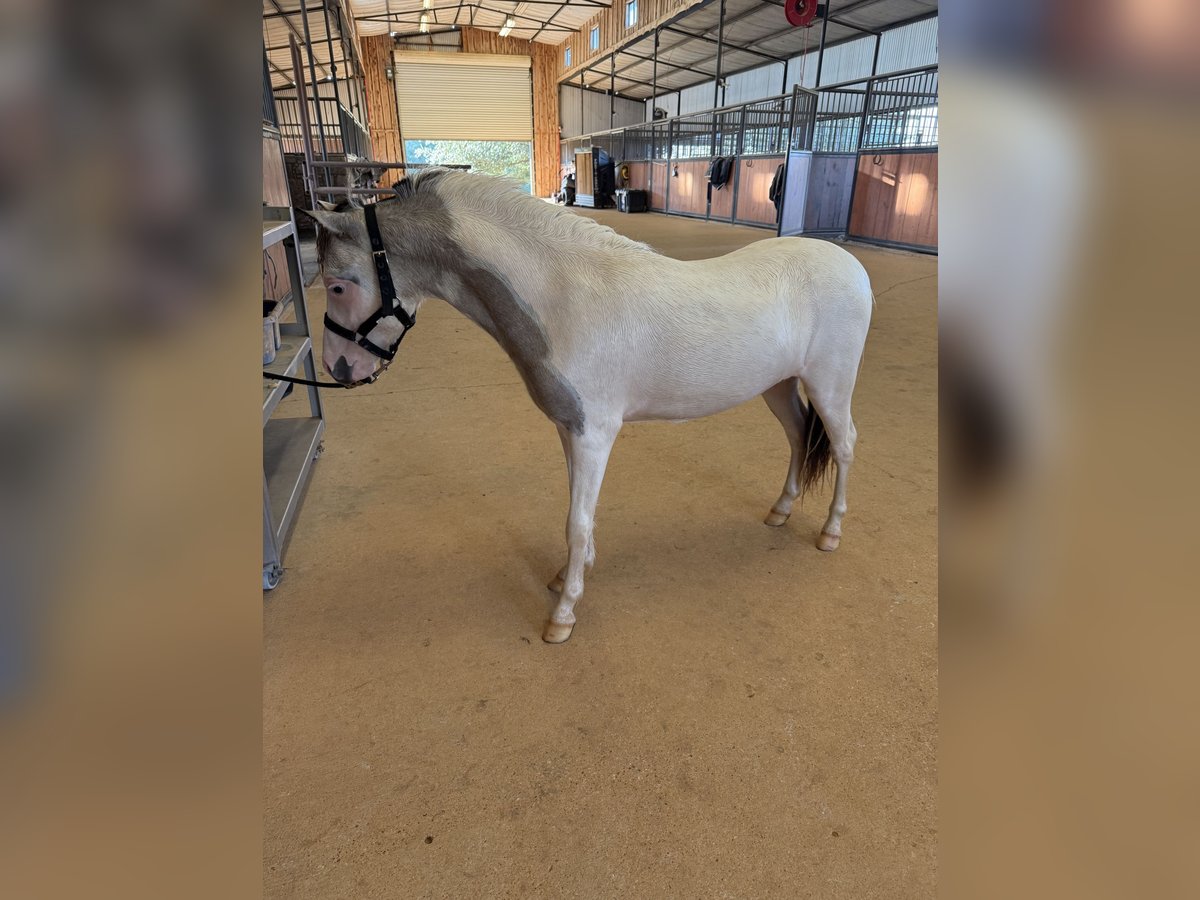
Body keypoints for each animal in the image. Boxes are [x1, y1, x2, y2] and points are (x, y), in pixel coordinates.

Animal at [306, 169, 873, 643]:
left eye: (338, 284)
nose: (338, 368)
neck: (565, 298)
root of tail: (850, 266)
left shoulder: (592, 434)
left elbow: (576, 522)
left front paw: (563, 615)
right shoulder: (569, 429)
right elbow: (579, 514)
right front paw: (567, 577)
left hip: (831, 385)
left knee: (844, 445)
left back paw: (830, 533)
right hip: (780, 386)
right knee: (798, 436)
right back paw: (780, 511)